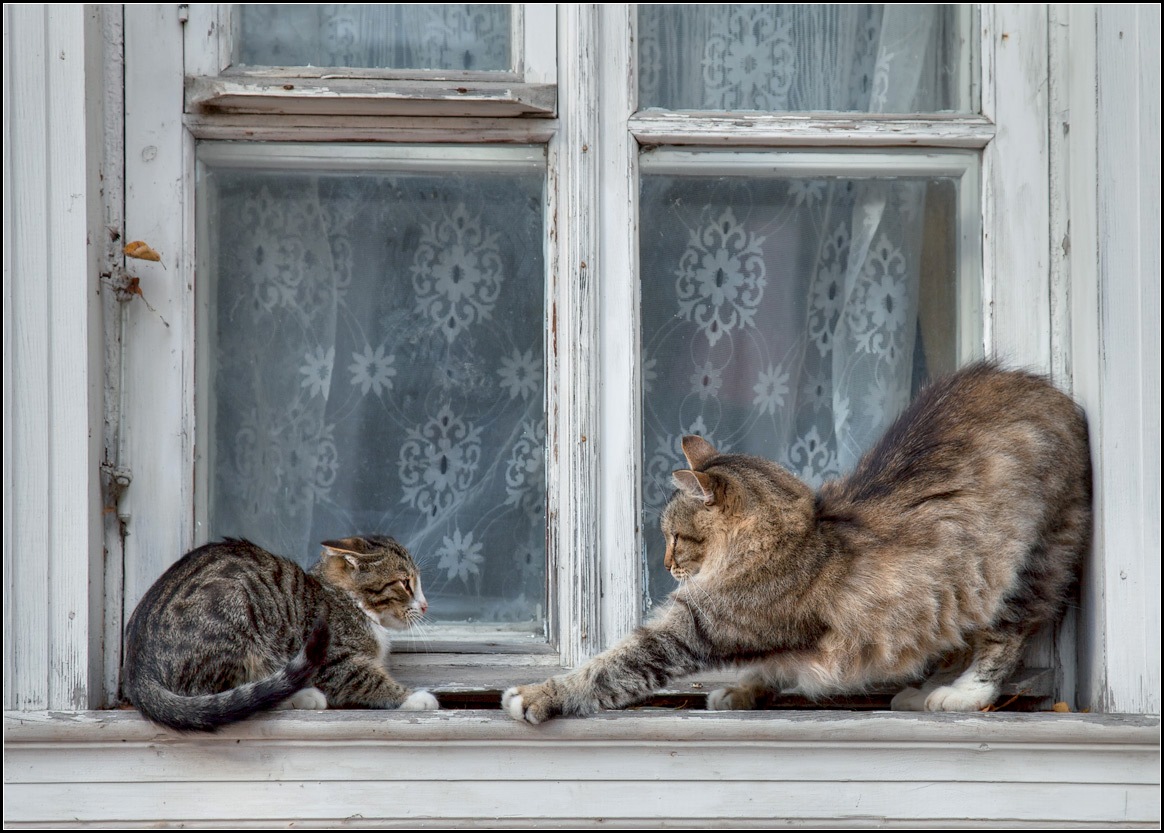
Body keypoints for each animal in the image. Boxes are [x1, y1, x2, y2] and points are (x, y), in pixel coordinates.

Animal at [121, 532, 439, 730]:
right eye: (406, 583)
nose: (425, 605)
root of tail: (136, 670)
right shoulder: (334, 662)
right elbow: (369, 680)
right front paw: (414, 698)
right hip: (234, 611)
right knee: (224, 698)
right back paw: (300, 695)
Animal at [502, 365, 1089, 721]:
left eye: (674, 537)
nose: (665, 566)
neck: (798, 533)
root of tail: (1058, 397)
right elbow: (770, 666)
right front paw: (741, 690)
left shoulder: (695, 626)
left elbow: (609, 666)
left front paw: (538, 694)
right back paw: (920, 691)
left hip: (1019, 568)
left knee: (1003, 638)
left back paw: (960, 694)